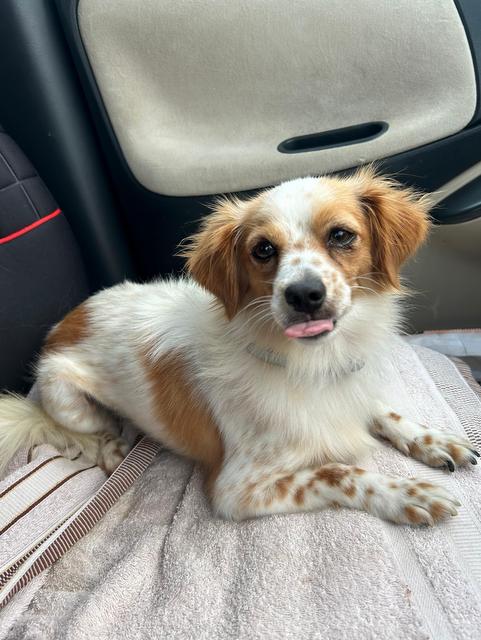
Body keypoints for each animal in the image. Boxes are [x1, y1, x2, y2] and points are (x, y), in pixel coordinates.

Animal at [0, 167, 477, 526]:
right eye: (262, 249)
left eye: (341, 235)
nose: (304, 294)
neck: (312, 364)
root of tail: (69, 319)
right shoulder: (237, 489)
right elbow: (337, 473)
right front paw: (404, 493)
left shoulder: (351, 390)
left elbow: (383, 411)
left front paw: (433, 440)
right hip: (65, 396)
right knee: (85, 431)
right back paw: (113, 446)